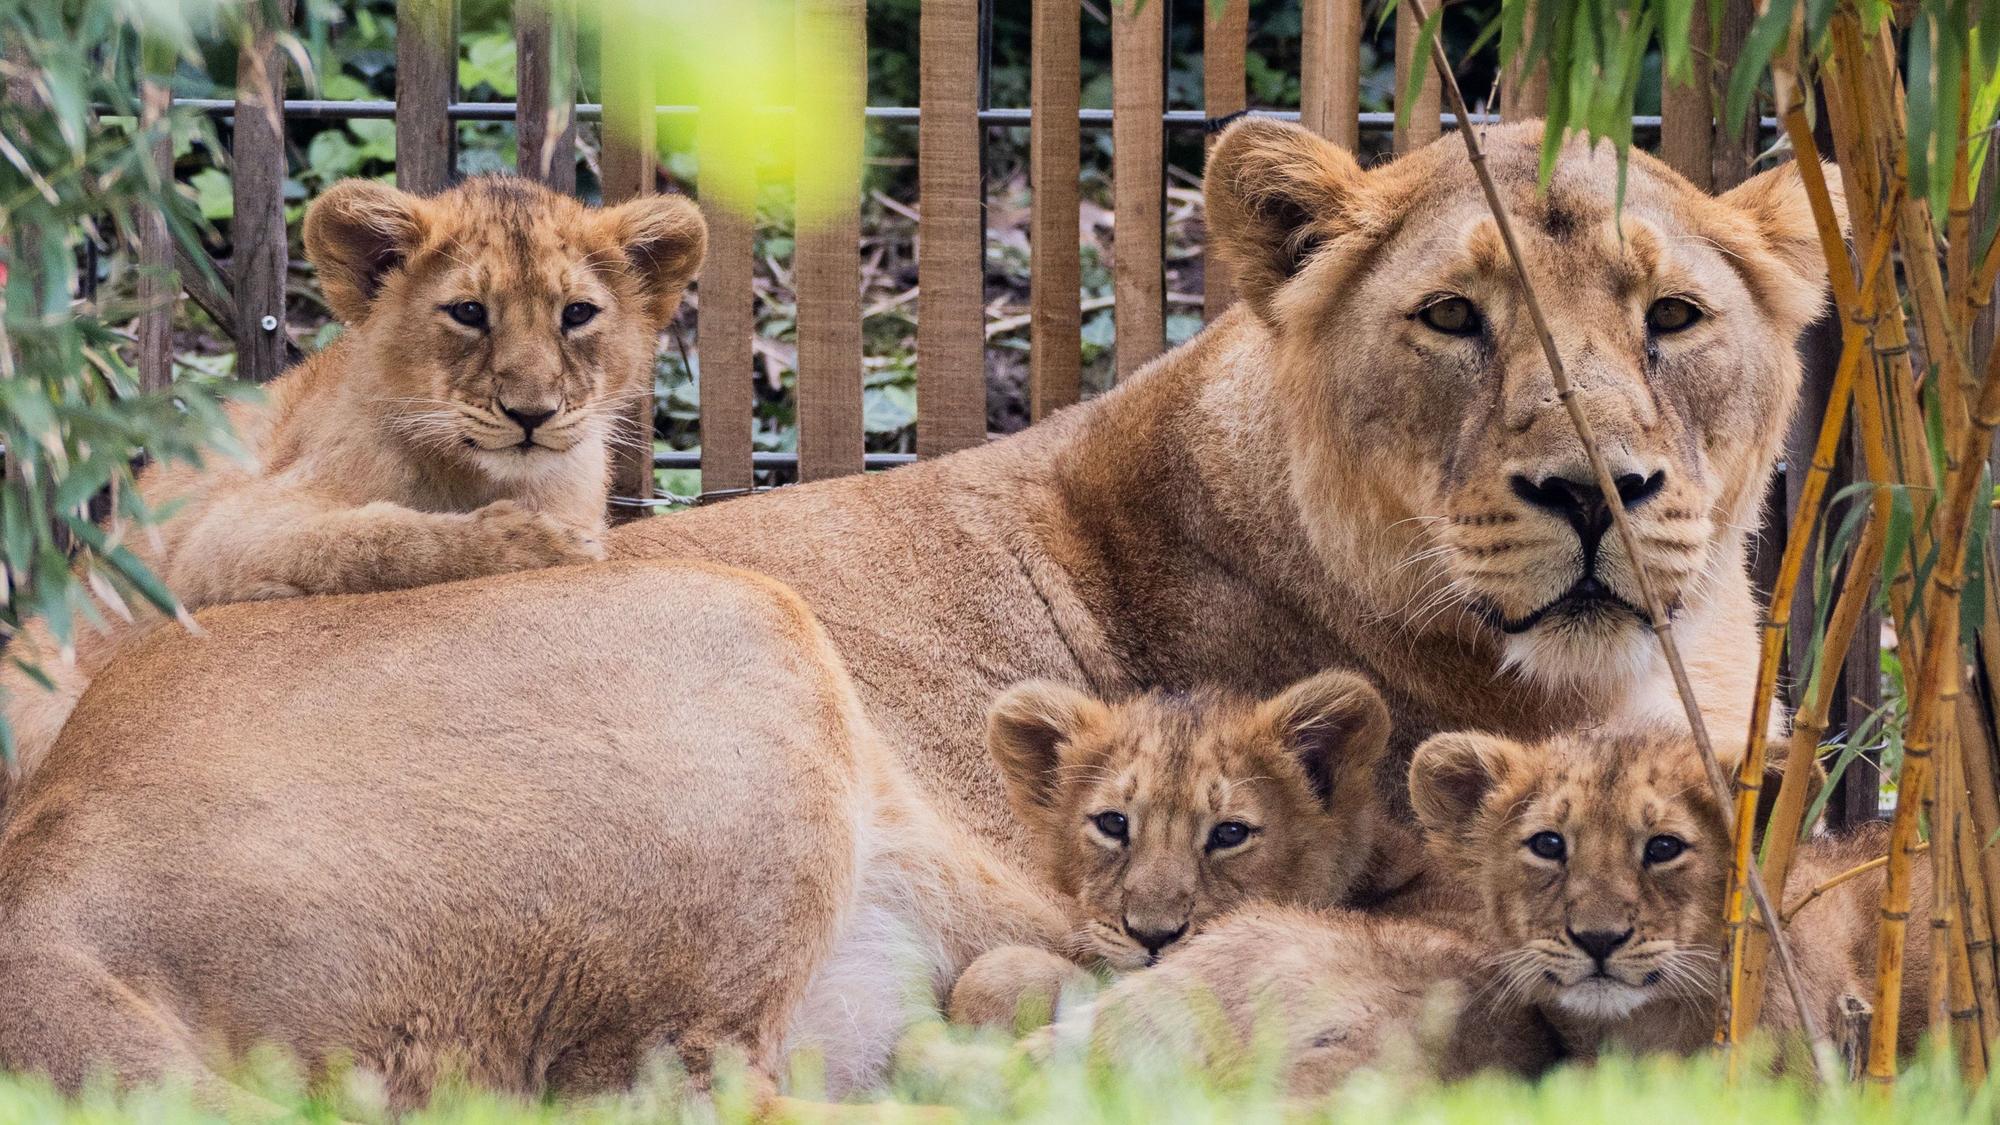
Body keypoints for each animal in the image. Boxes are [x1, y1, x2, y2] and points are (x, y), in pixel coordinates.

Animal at [0, 175, 704, 786]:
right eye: (469, 312)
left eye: (578, 313)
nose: (531, 413)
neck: (481, 477)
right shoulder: (213, 541)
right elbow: (376, 539)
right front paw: (534, 544)